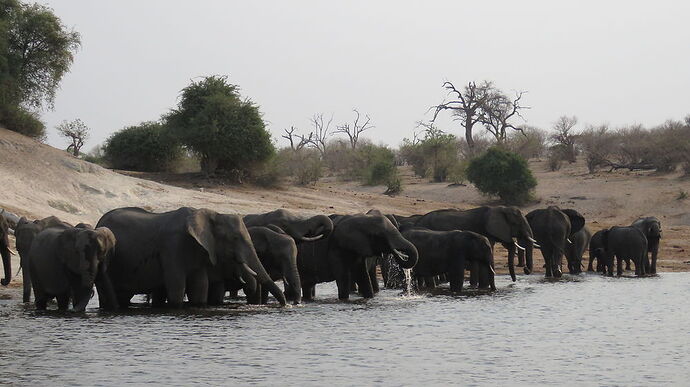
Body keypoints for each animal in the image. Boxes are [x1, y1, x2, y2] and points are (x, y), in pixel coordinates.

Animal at [96, 206, 284, 310]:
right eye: (235, 238)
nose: (285, 306)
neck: (213, 214)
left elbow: (199, 287)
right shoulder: (172, 246)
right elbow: (177, 285)